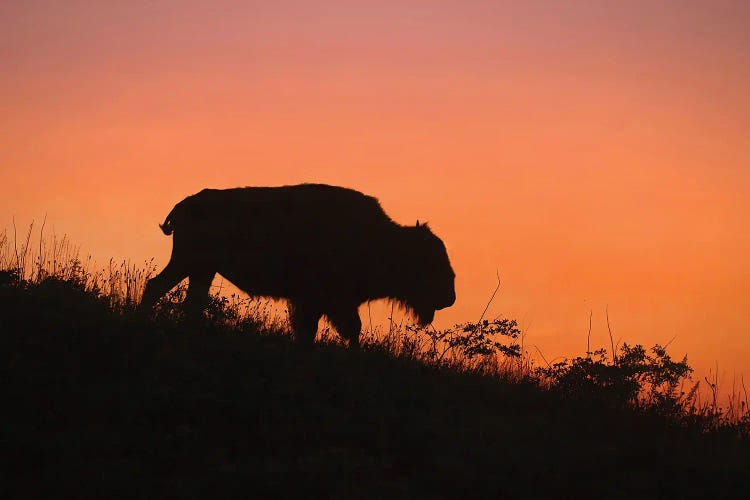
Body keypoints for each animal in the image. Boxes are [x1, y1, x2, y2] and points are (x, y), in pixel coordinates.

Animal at [141, 185, 458, 348]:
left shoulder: (324, 303)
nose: (450, 297)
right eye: (430, 263)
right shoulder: (321, 301)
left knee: (187, 300)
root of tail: (184, 205)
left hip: (201, 270)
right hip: (189, 263)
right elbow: (333, 329)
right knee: (157, 286)